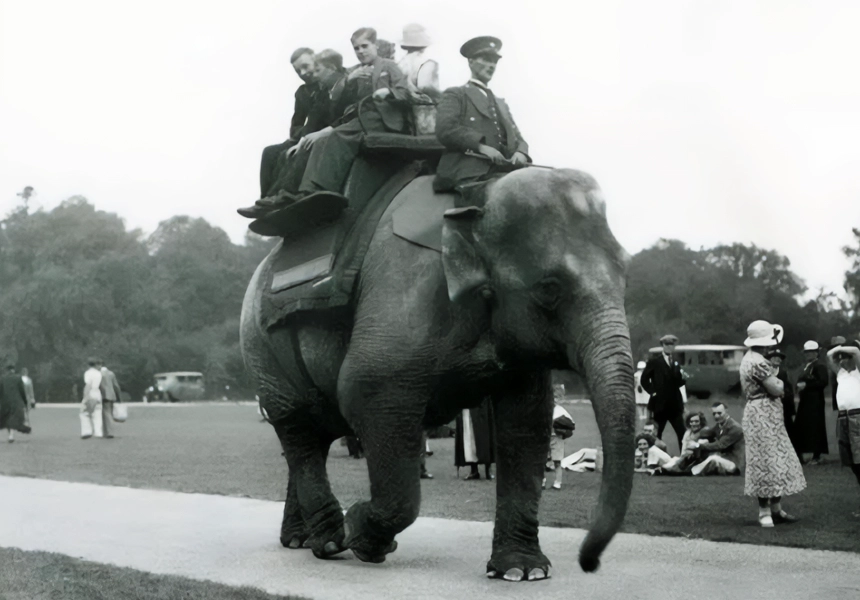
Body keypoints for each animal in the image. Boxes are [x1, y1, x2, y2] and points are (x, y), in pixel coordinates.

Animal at [239, 166, 636, 580]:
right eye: (549, 288)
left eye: (626, 276)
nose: (589, 563)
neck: (478, 195)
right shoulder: (407, 293)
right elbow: (365, 391)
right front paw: (362, 536)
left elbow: (526, 419)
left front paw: (522, 572)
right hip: (260, 346)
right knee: (296, 427)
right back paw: (331, 541)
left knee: (312, 436)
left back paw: (301, 540)